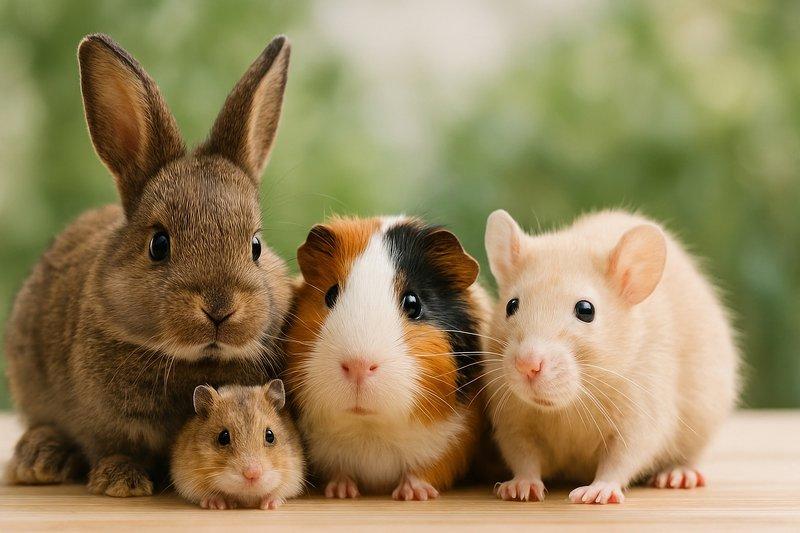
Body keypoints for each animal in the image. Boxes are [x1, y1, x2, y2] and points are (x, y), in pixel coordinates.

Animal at [3, 33, 293, 497]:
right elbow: (115, 447)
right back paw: (41, 459)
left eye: (255, 246)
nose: (220, 309)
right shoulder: (105, 423)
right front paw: (121, 481)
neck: (194, 362)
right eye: (159, 244)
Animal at [171, 381, 305, 510]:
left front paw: (269, 505)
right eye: (223, 437)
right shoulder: (187, 478)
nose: (252, 474)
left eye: (270, 436)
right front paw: (218, 505)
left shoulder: (293, 474)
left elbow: (278, 492)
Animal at [283, 216, 490, 500]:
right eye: (330, 294)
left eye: (413, 303)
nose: (358, 366)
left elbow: (423, 472)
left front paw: (414, 494)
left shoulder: (453, 443)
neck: (371, 431)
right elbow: (339, 471)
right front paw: (341, 492)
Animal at [482, 209, 739, 504]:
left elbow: (625, 453)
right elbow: (521, 451)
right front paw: (521, 484)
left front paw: (599, 489)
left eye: (586, 310)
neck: (569, 405)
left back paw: (679, 473)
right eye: (511, 305)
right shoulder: (512, 413)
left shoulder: (642, 404)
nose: (527, 365)